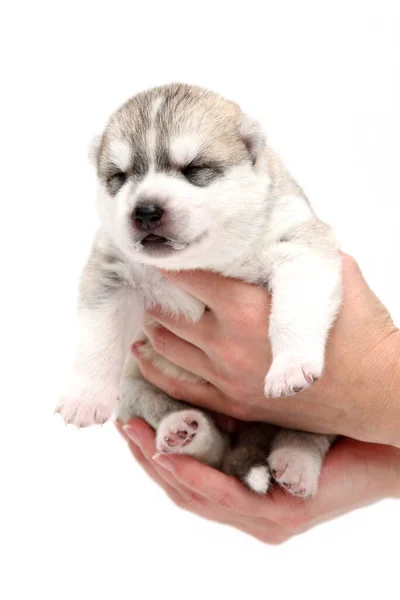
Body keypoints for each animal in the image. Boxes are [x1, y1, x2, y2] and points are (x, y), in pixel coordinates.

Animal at [56, 83, 340, 496]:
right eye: (120, 176)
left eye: (194, 170)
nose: (145, 211)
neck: (201, 260)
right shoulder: (112, 271)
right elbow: (98, 336)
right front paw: (85, 395)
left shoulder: (298, 244)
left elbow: (293, 311)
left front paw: (290, 366)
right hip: (137, 386)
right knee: (209, 445)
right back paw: (184, 431)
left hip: (320, 414)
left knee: (306, 434)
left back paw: (296, 463)